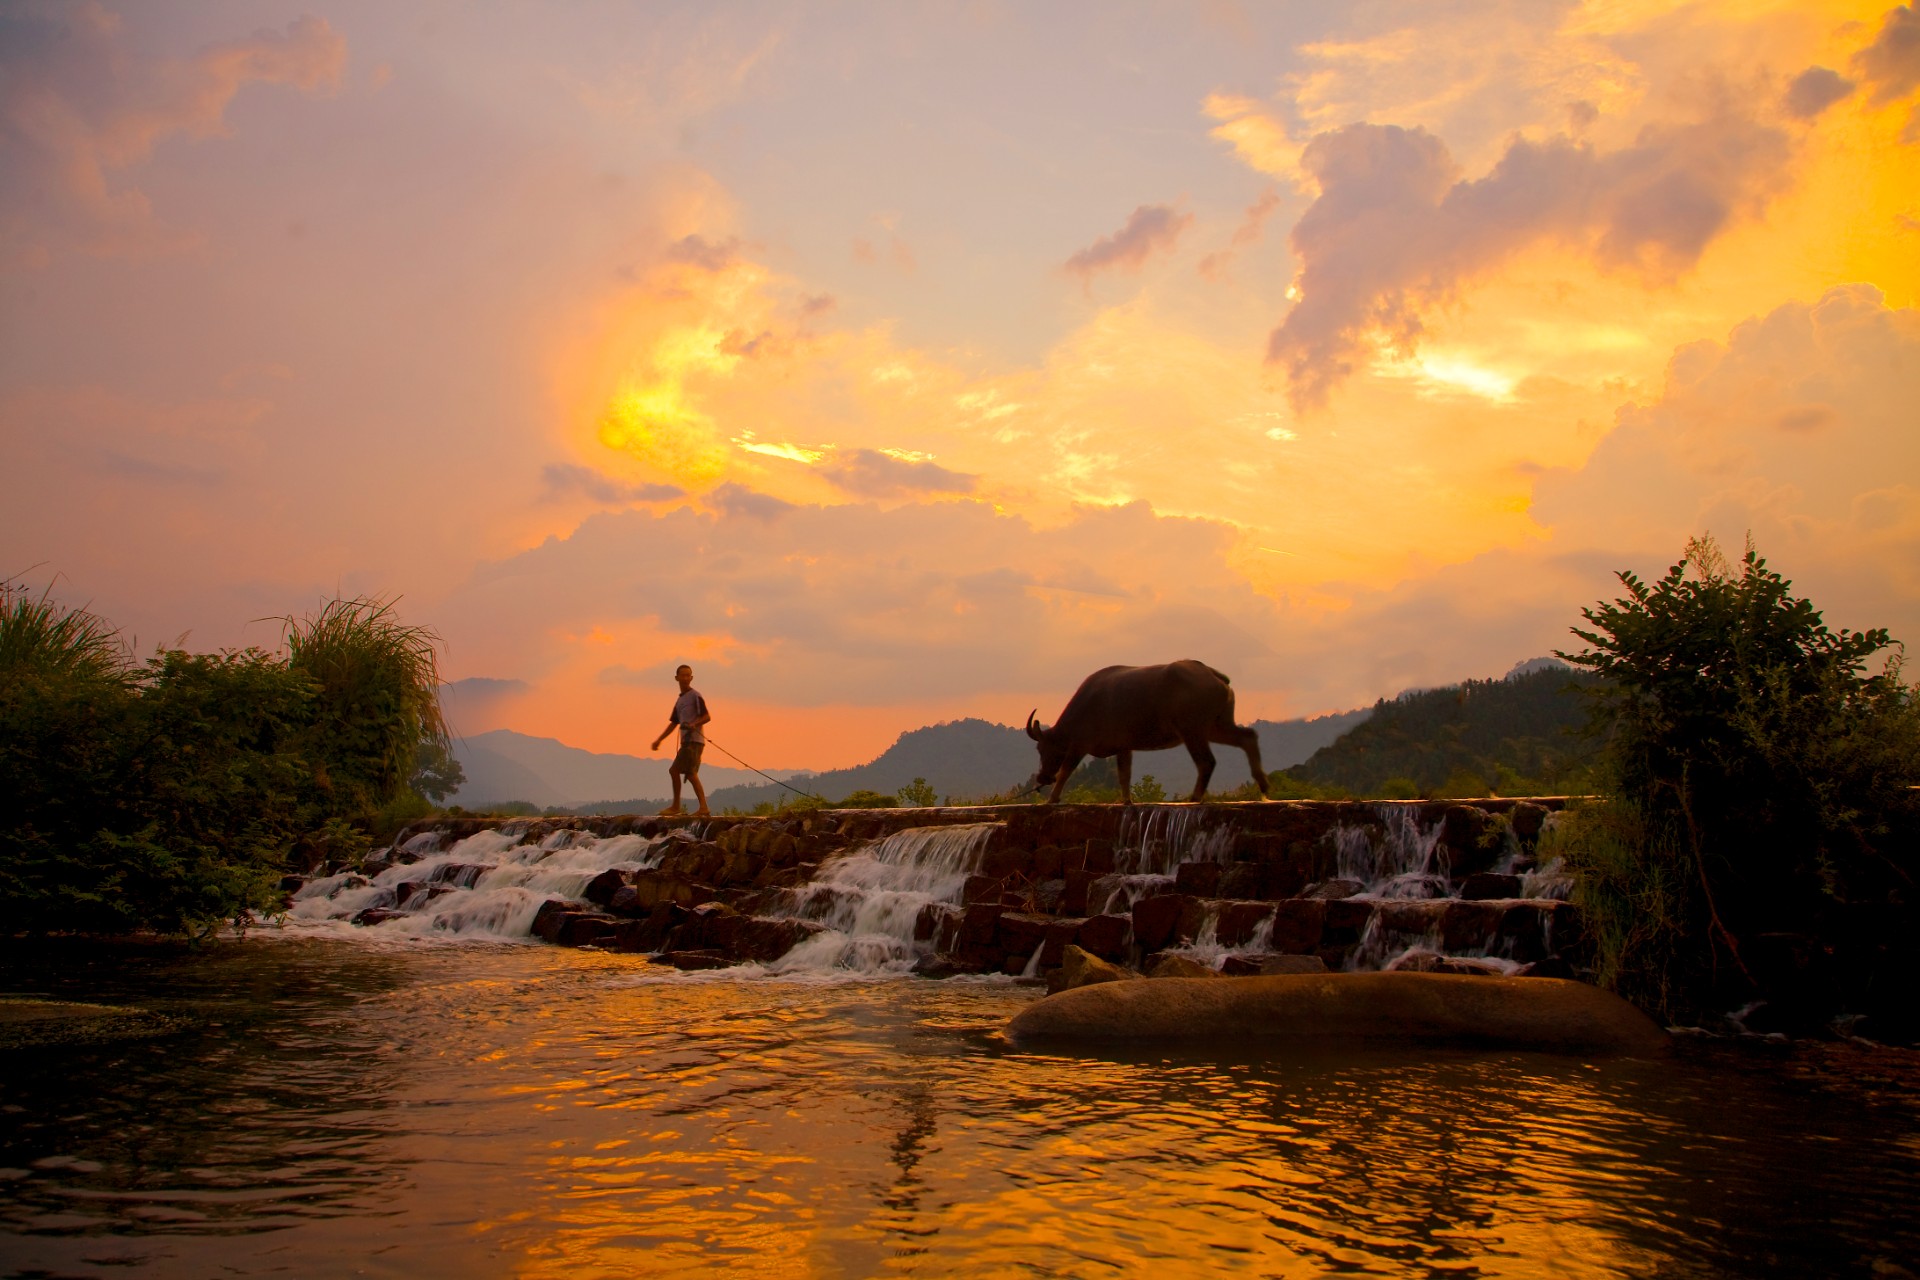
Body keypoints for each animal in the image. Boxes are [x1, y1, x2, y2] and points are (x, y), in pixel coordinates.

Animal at [1029, 660, 1267, 802]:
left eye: (1042, 749)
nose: (1042, 777)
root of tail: (1214, 675)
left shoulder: (1079, 745)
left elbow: (1065, 771)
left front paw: (1052, 799)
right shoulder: (1124, 747)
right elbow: (1124, 775)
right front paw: (1126, 801)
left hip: (1193, 731)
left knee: (1206, 762)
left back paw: (1194, 798)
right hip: (1217, 727)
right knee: (1248, 737)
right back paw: (1263, 785)